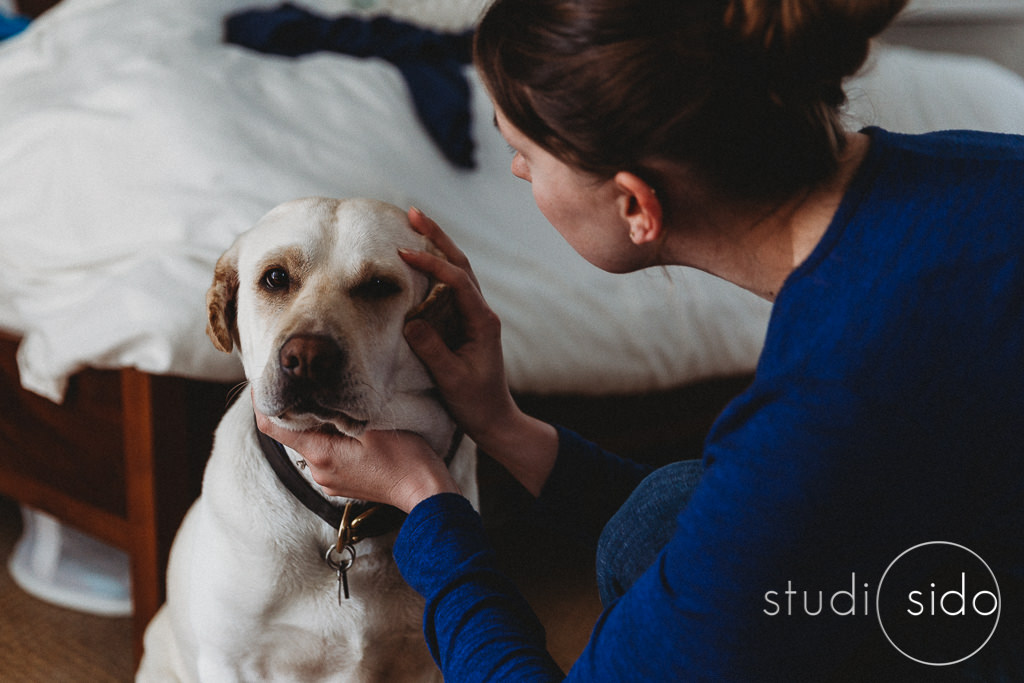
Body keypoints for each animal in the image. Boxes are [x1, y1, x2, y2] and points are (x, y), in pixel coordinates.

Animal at [138, 197, 477, 683]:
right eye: (276, 278)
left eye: (378, 286)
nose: (308, 358)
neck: (339, 516)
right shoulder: (229, 658)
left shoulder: (424, 661)